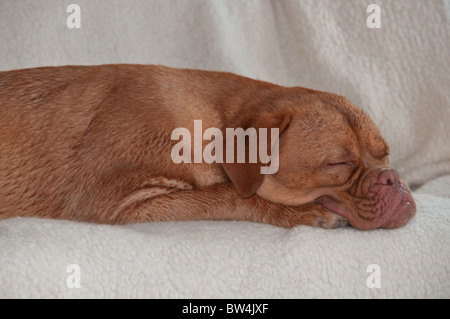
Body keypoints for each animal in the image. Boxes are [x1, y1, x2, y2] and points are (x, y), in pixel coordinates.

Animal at [0, 64, 416, 230]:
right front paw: (300, 213)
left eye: (385, 154)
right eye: (338, 164)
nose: (394, 179)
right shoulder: (118, 203)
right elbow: (229, 194)